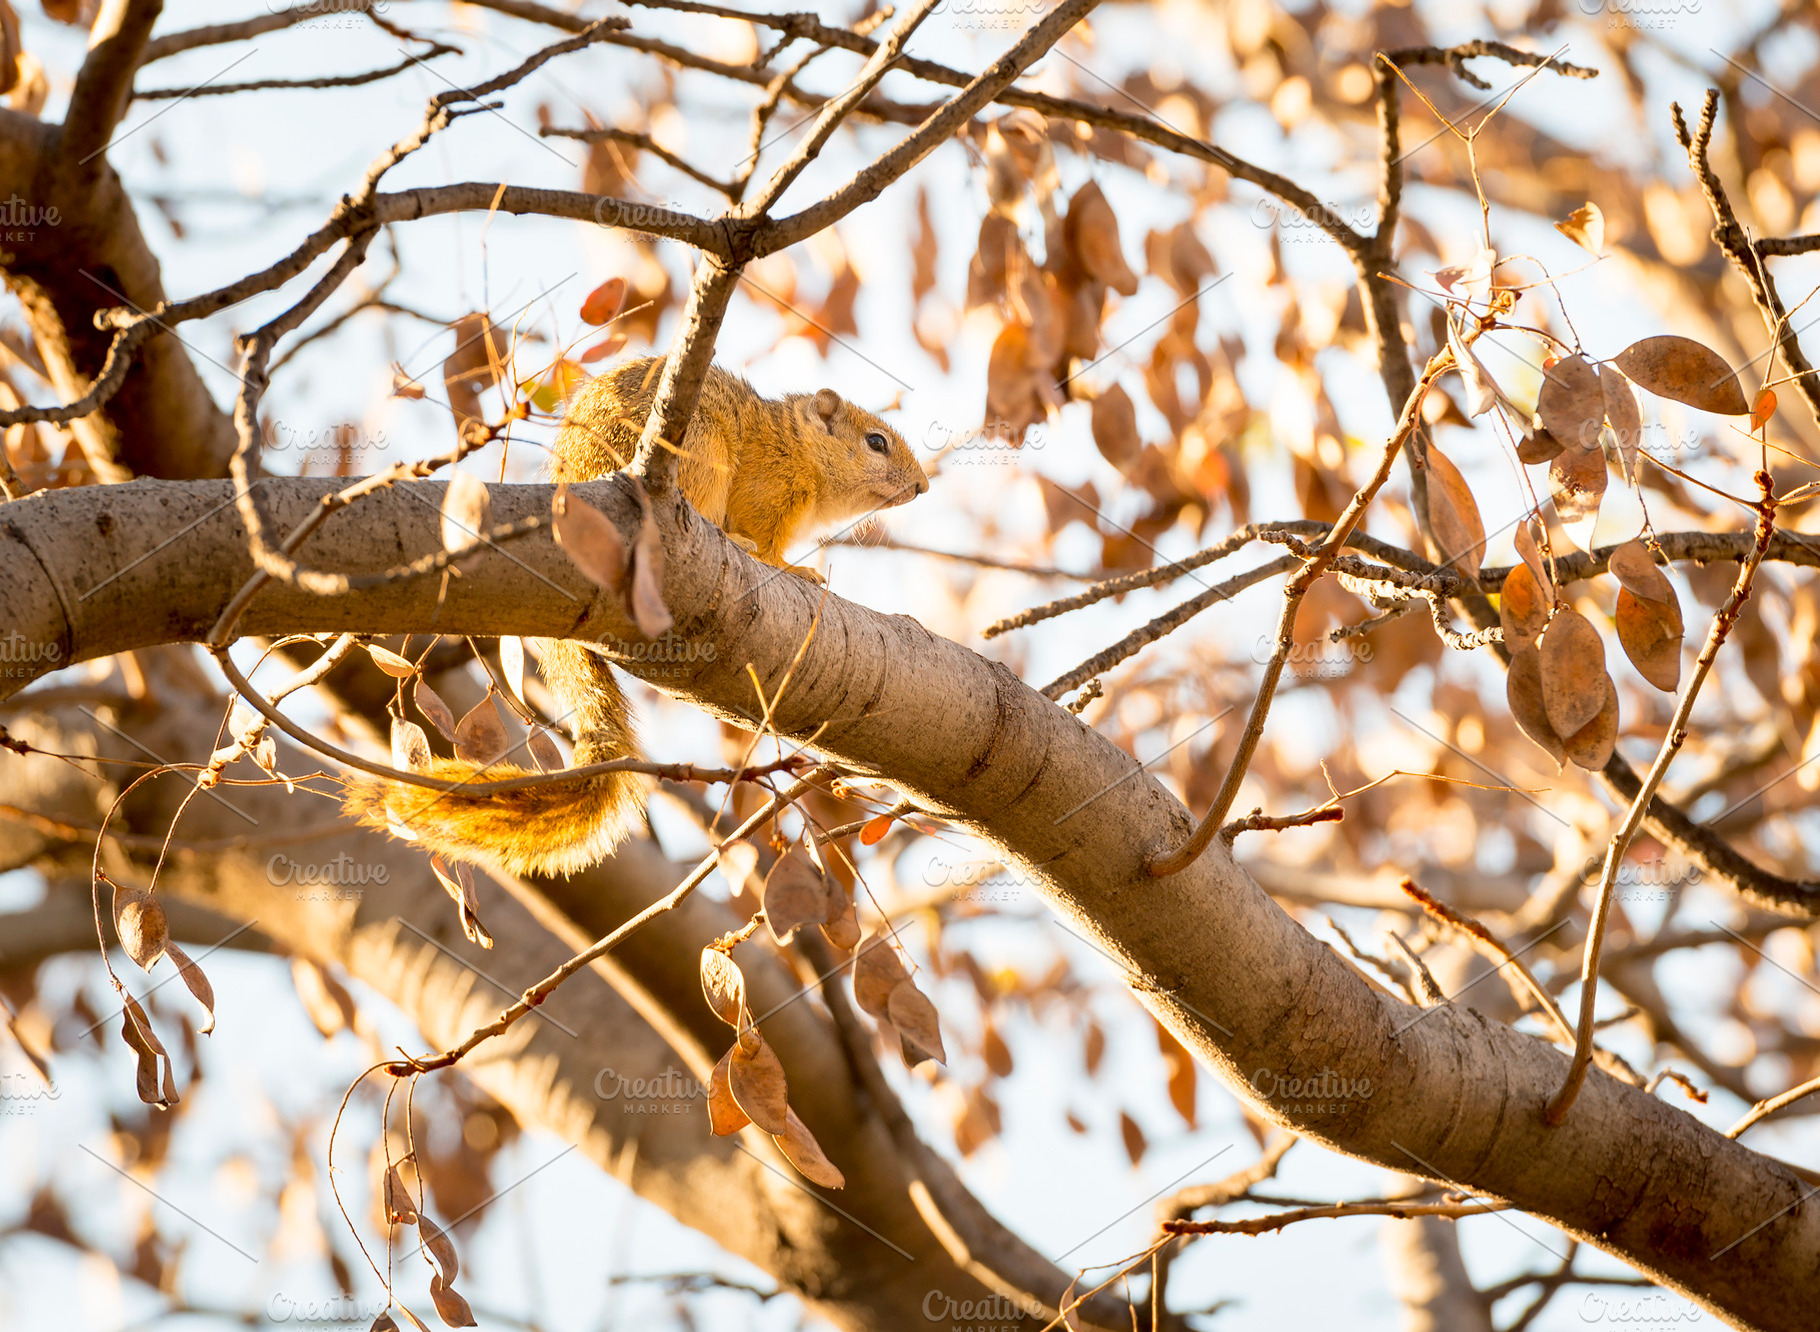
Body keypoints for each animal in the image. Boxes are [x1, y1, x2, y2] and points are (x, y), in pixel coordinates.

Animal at [344, 355, 929, 877]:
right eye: (875, 442)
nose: (923, 486)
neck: (797, 446)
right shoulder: (770, 492)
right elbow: (766, 546)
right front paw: (796, 569)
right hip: (697, 450)